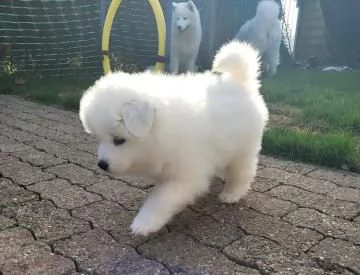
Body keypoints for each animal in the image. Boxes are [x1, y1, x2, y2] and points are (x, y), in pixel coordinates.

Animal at [79, 41, 270, 237]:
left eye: (118, 140)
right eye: (99, 138)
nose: (101, 165)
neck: (162, 129)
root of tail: (240, 82)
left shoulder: (186, 175)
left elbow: (162, 198)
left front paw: (144, 223)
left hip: (244, 149)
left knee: (242, 172)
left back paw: (231, 194)